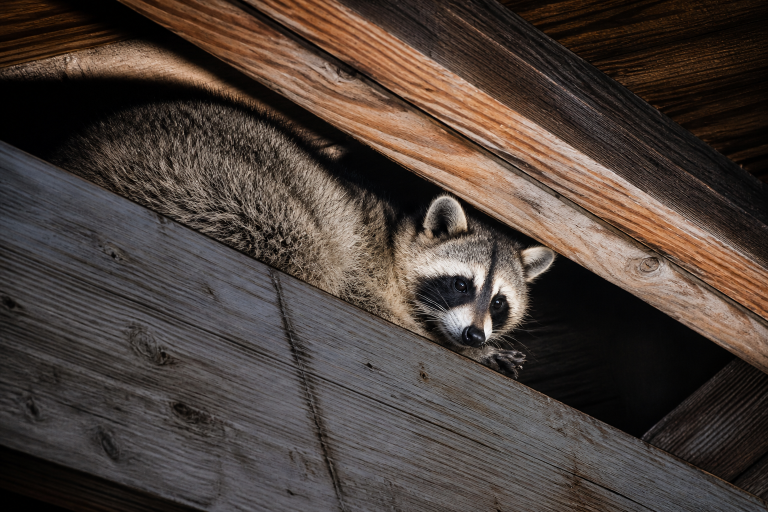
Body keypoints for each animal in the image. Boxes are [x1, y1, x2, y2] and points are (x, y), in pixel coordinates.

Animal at [51, 97, 554, 377]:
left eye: (499, 302)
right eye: (461, 284)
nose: (472, 335)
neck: (396, 242)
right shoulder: (365, 264)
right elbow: (372, 305)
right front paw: (468, 351)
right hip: (209, 181)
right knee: (306, 249)